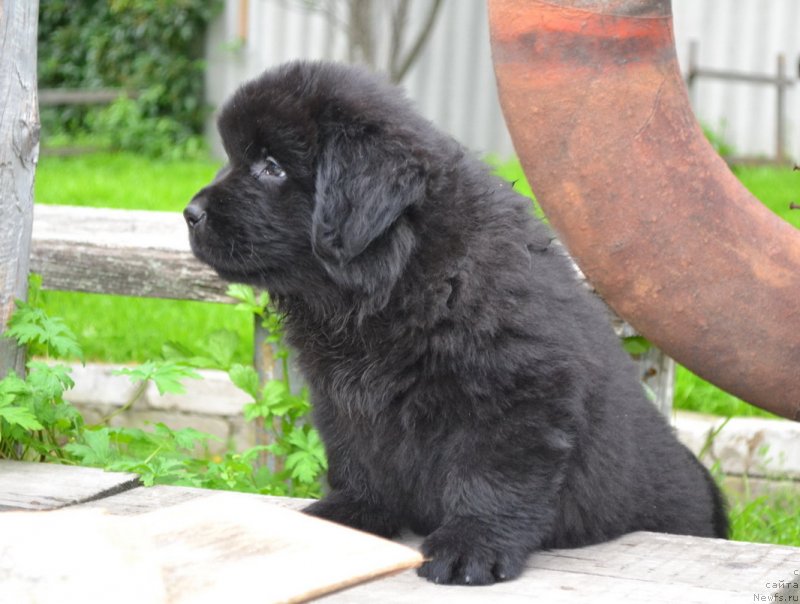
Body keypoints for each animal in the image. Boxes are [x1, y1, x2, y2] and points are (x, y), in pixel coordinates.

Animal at [186, 61, 724, 584]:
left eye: (272, 167)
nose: (190, 212)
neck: (401, 279)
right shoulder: (343, 397)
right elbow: (357, 456)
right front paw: (347, 516)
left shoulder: (518, 394)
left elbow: (490, 476)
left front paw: (471, 546)